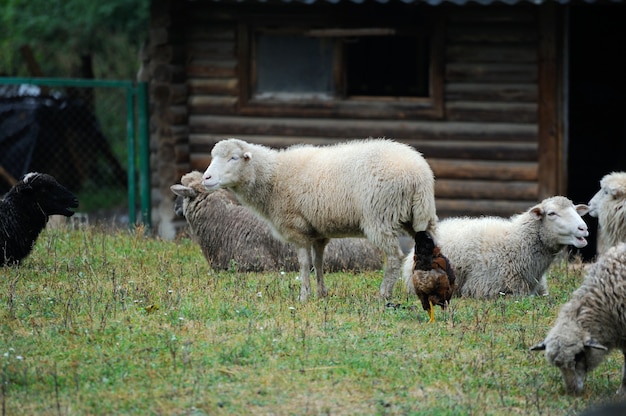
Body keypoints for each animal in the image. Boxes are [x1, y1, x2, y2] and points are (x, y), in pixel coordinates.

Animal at [201, 138, 434, 300]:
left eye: (233, 157)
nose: (206, 178)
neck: (274, 177)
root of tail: (419, 173)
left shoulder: (298, 230)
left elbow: (304, 264)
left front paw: (304, 296)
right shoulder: (318, 233)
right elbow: (319, 262)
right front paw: (322, 292)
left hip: (380, 217)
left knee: (394, 257)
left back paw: (384, 293)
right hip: (420, 215)